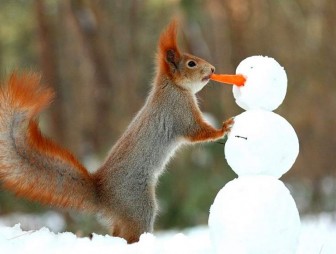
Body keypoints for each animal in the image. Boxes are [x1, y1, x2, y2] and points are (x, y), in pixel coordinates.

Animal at [0, 20, 232, 243]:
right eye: (191, 63)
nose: (212, 69)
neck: (173, 87)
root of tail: (102, 194)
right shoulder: (179, 112)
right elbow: (197, 132)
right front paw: (224, 128)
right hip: (138, 206)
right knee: (130, 234)